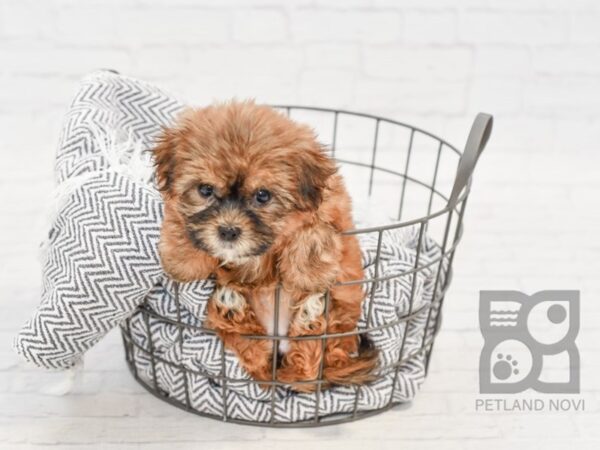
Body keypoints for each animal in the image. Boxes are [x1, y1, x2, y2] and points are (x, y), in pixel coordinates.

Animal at [154, 101, 376, 390]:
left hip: (341, 321)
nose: (228, 231)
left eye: (263, 195)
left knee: (310, 366)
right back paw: (232, 309)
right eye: (205, 190)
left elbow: (315, 230)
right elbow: (178, 219)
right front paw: (182, 261)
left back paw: (310, 318)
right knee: (254, 354)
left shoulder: (331, 210)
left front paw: (309, 273)